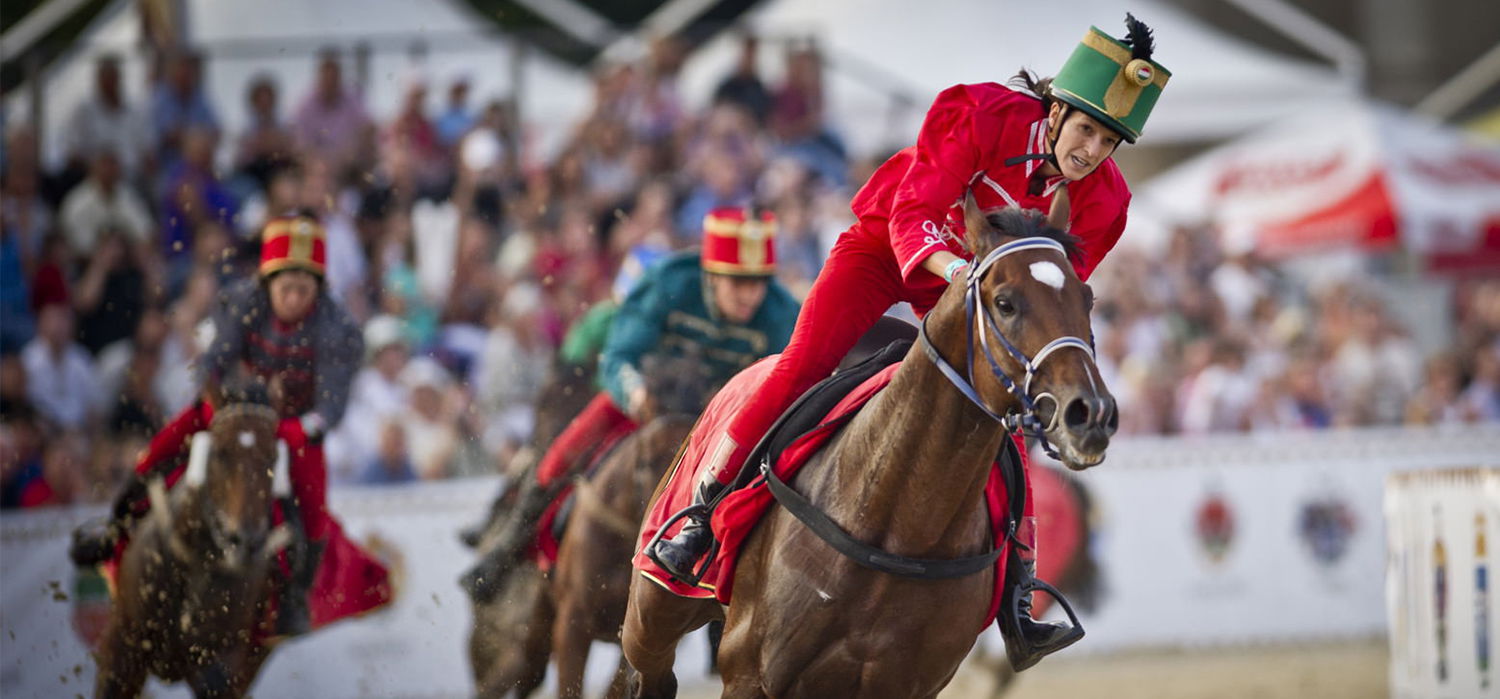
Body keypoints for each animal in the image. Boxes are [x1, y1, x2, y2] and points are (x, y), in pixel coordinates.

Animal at [96, 387, 292, 699]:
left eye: (272, 458)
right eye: (220, 453)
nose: (246, 541)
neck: (196, 562)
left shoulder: (220, 668)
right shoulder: (121, 646)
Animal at [618, 204, 1116, 699]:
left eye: (1087, 299)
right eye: (1006, 302)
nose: (1089, 413)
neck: (896, 518)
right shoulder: (749, 675)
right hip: (652, 614)